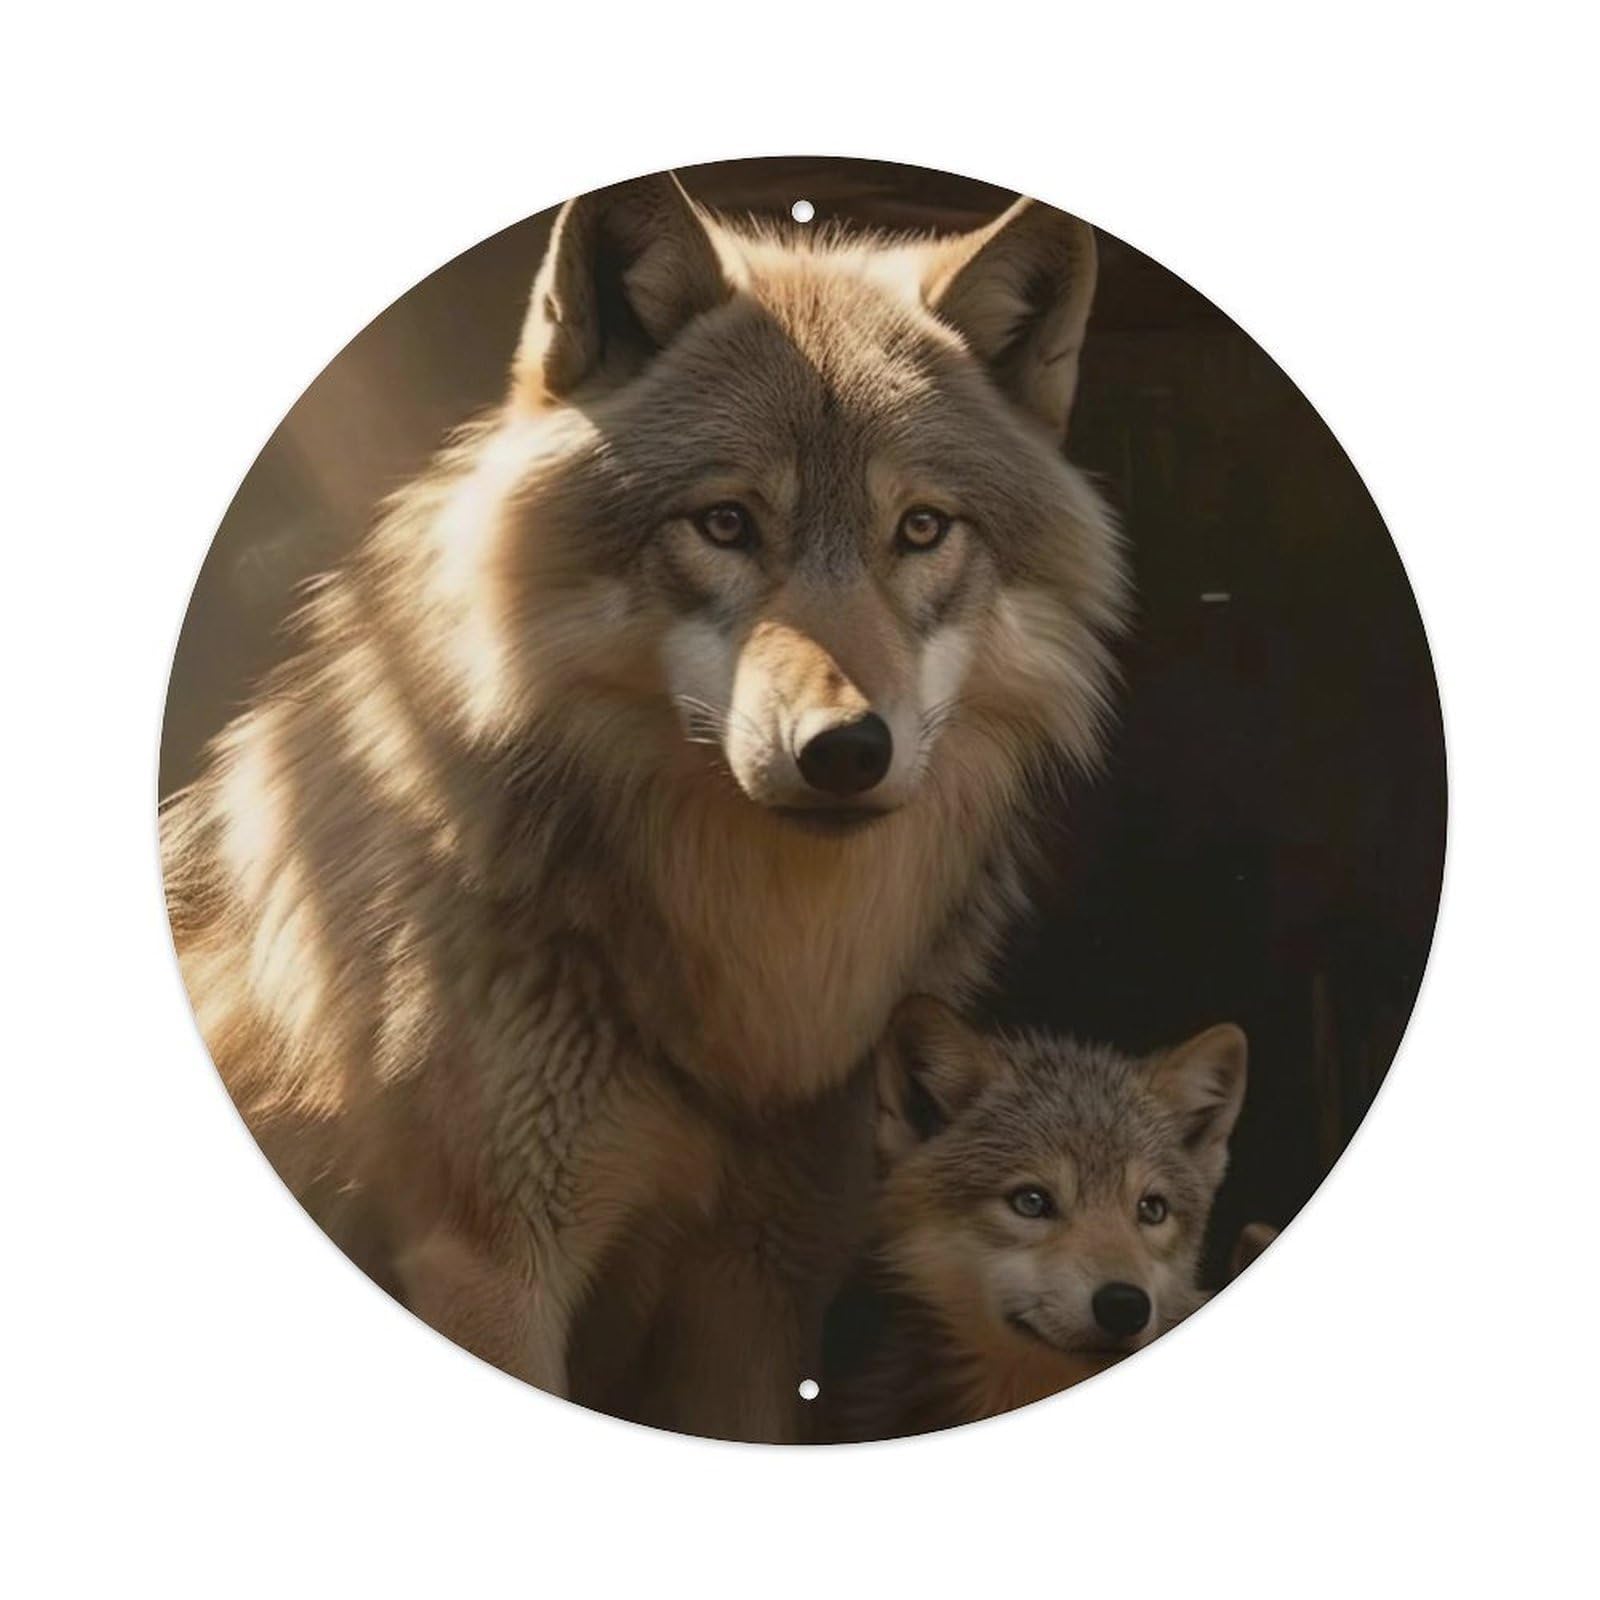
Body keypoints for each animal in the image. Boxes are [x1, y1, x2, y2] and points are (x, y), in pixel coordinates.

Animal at [160, 171, 1128, 1441]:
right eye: (724, 523)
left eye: (921, 528)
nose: (844, 751)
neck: (753, 995)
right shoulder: (491, 1270)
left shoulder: (764, 1287)